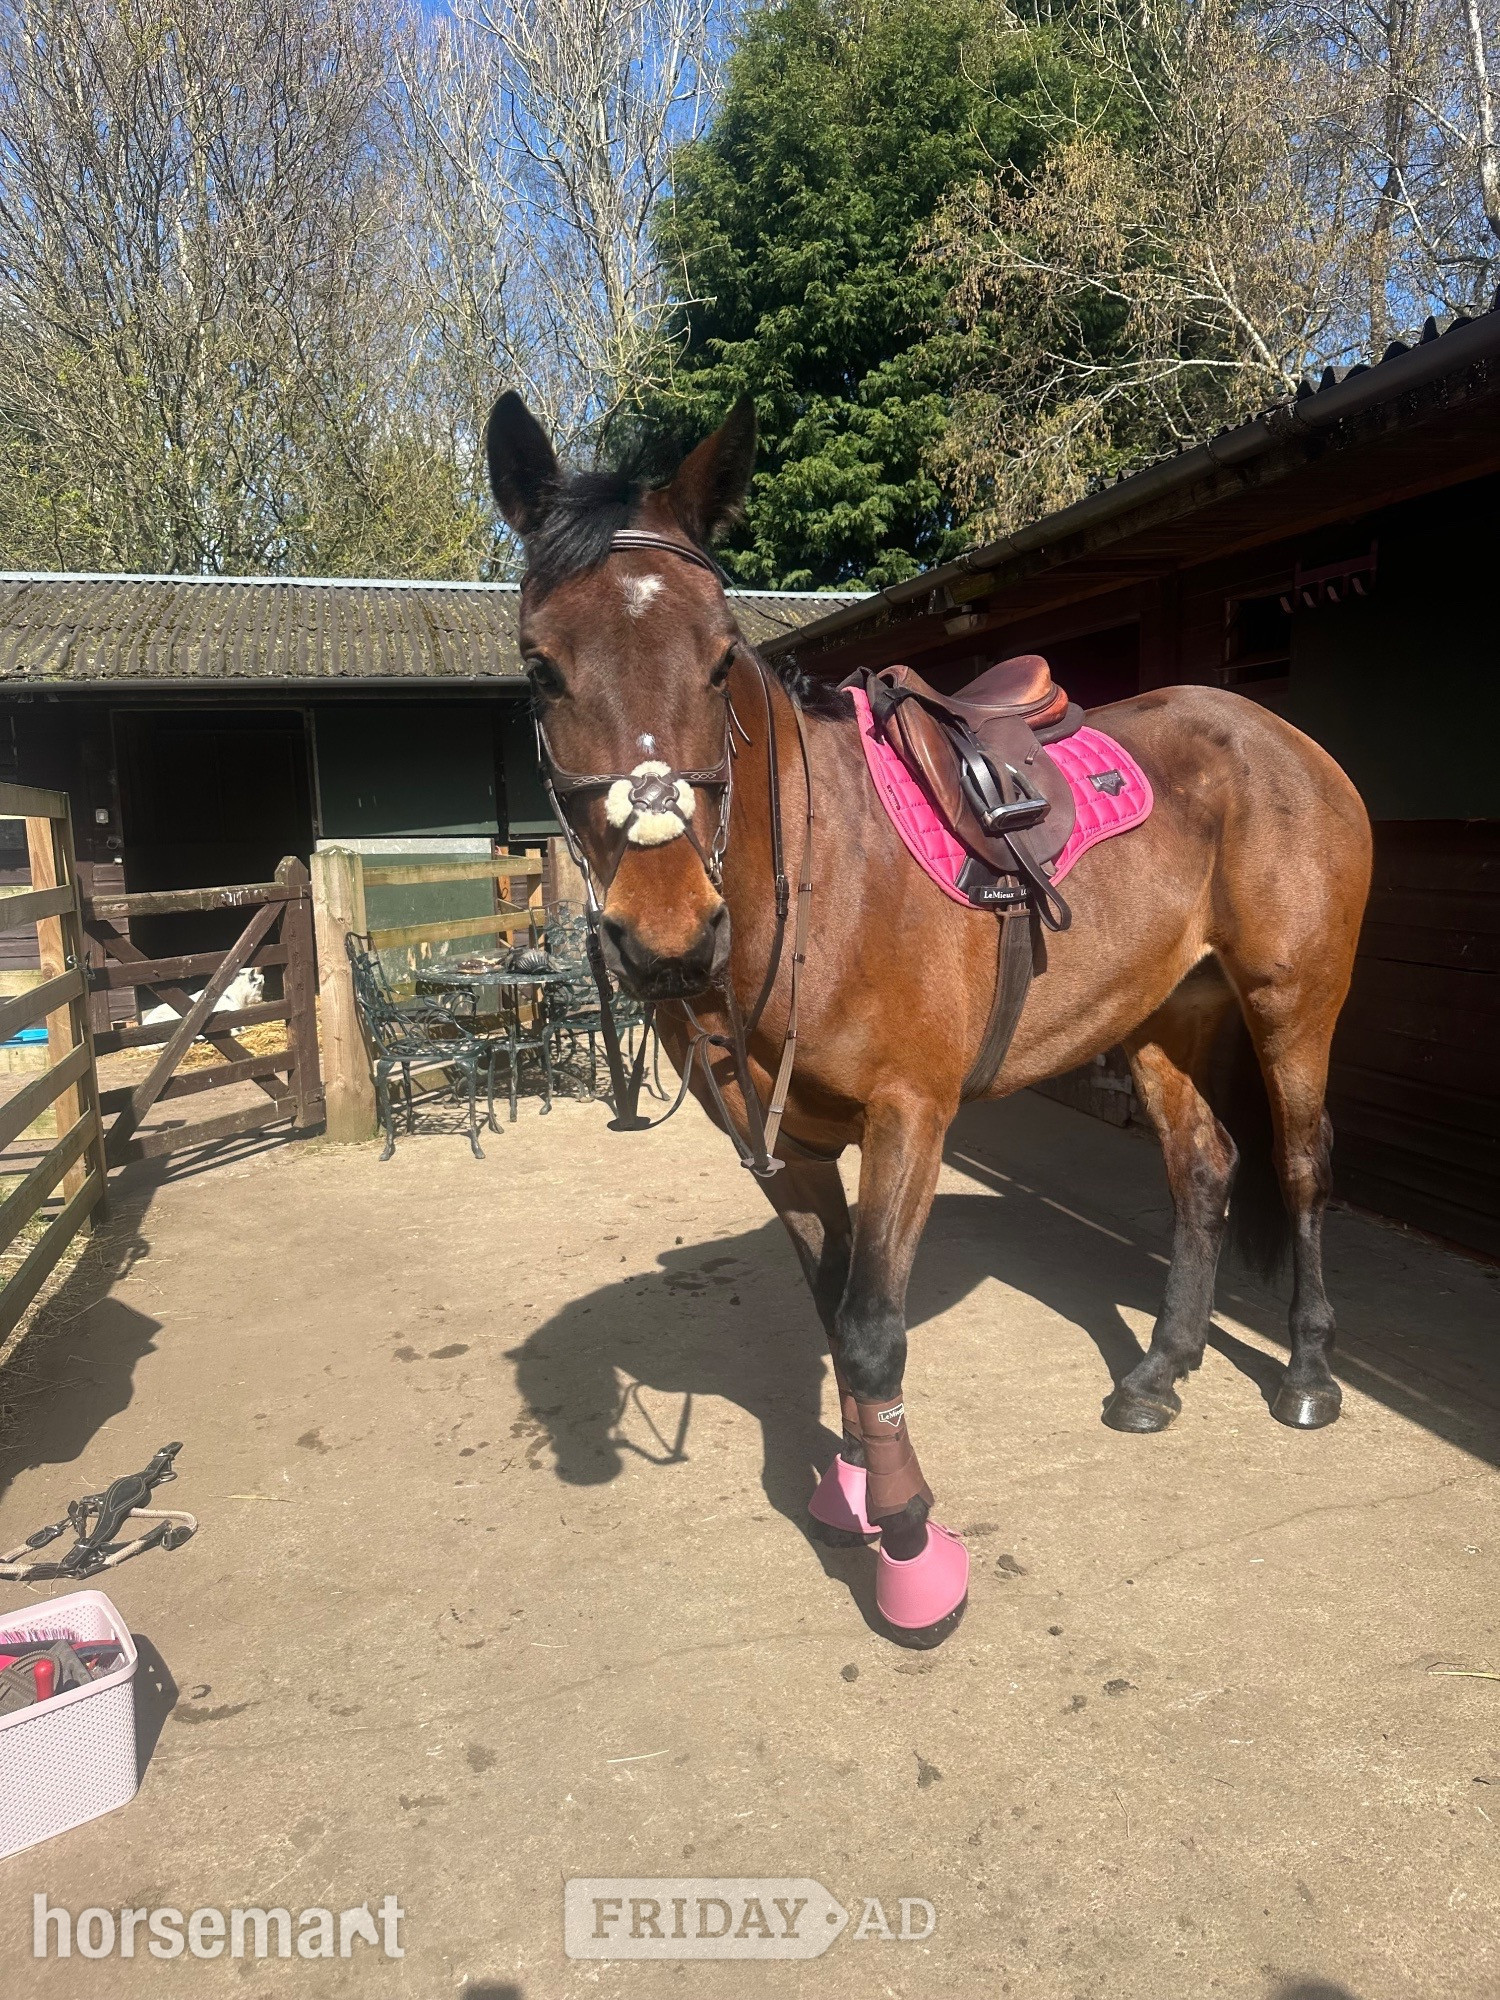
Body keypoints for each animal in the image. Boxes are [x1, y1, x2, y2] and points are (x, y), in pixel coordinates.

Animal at [484, 390, 1374, 1648]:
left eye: (719, 659)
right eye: (540, 664)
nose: (666, 934)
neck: (818, 887)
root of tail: (1281, 736)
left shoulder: (911, 1117)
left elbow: (872, 1329)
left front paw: (908, 1544)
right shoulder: (786, 1146)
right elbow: (835, 1315)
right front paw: (854, 1490)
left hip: (1294, 1003)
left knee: (1300, 1165)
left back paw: (1304, 1372)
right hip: (1165, 1013)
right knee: (1204, 1168)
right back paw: (1161, 1371)